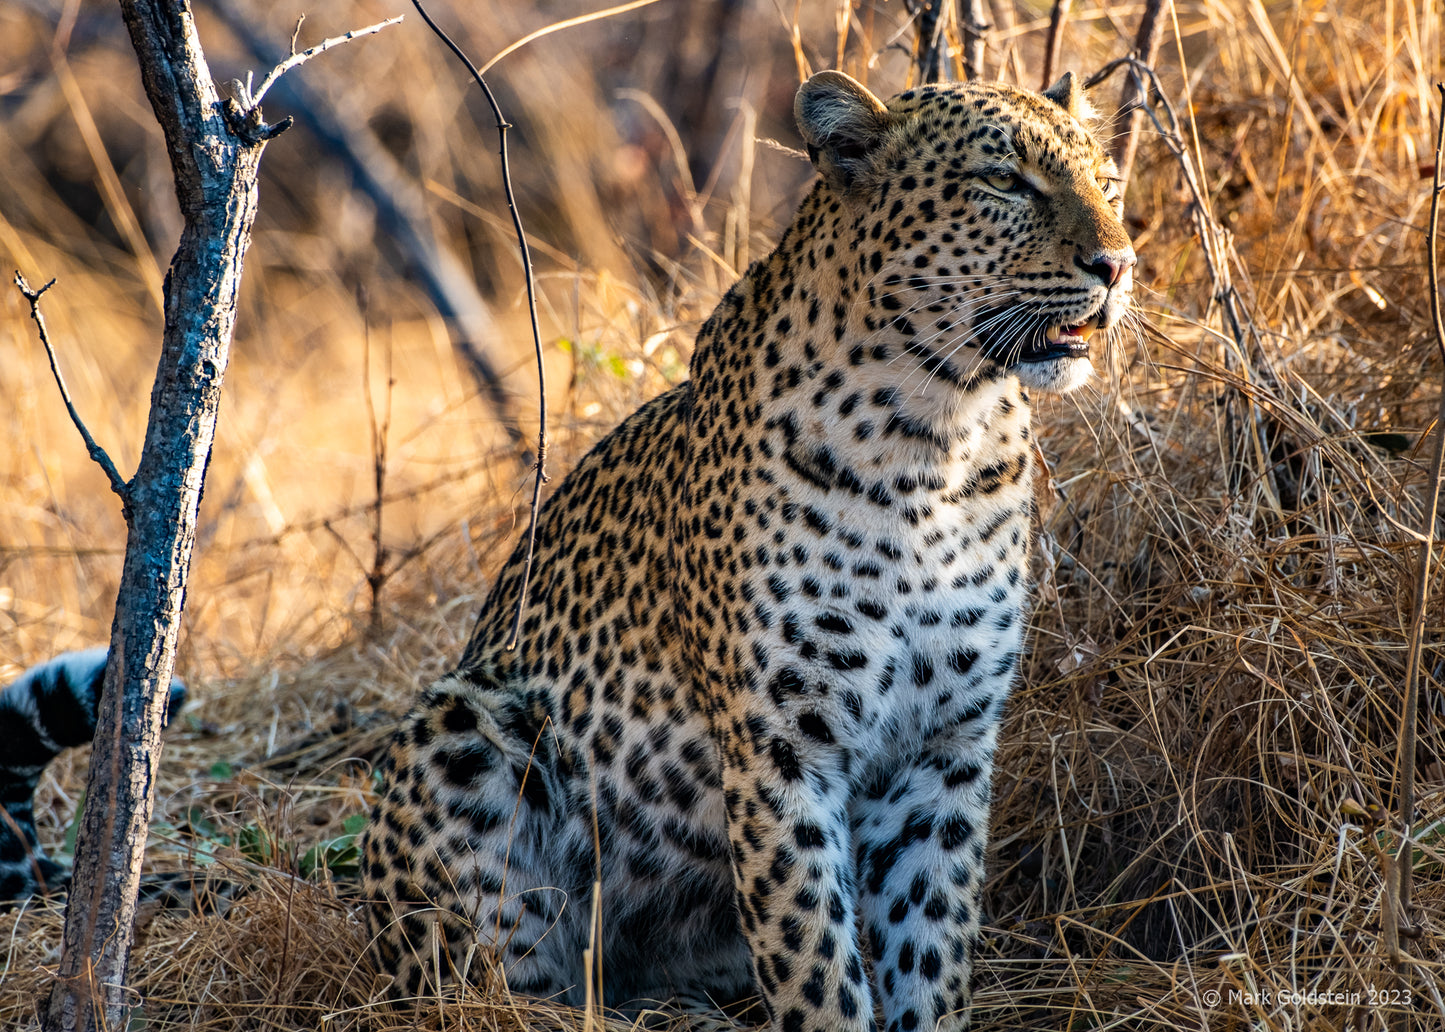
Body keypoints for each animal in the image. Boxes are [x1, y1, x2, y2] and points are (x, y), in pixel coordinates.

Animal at [355, 66, 1132, 1029]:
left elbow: (931, 943)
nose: (1118, 265)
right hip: (464, 726)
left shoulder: (944, 750)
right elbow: (815, 962)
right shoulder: (781, 751)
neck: (940, 437)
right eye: (1002, 182)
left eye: (1107, 180)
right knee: (503, 986)